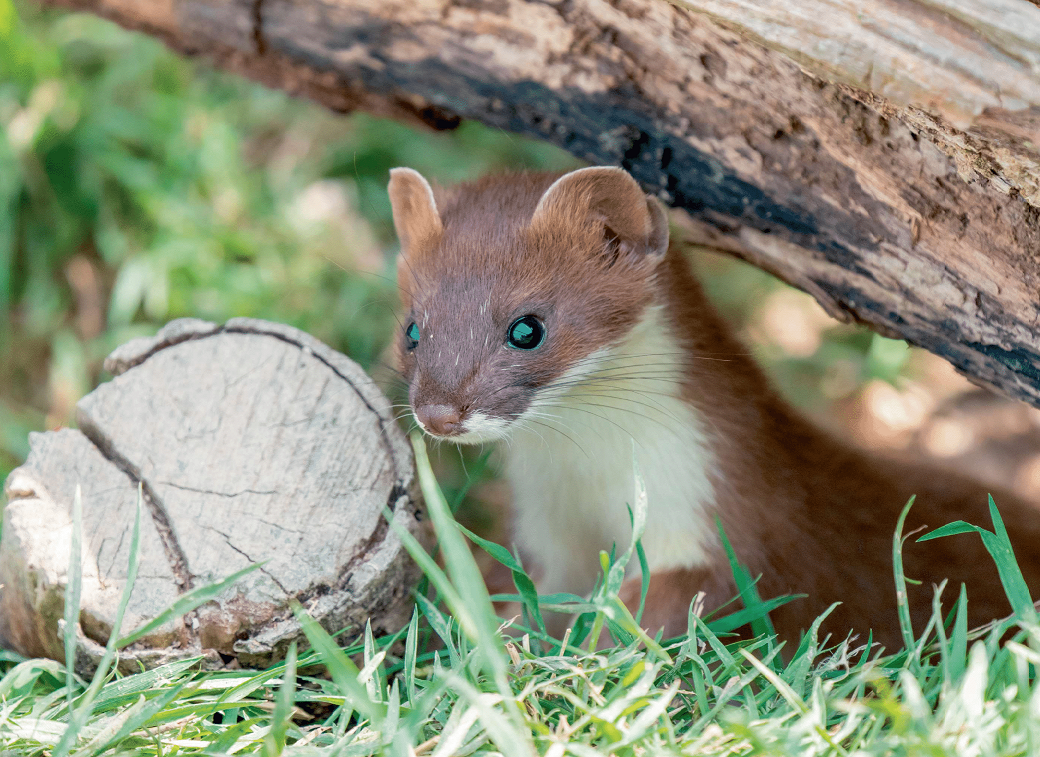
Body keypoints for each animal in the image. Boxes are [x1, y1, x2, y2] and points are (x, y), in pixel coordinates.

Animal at [386, 165, 1040, 648]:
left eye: (527, 328)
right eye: (413, 329)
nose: (440, 413)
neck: (590, 477)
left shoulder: (727, 510)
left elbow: (667, 612)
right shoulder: (547, 531)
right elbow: (516, 592)